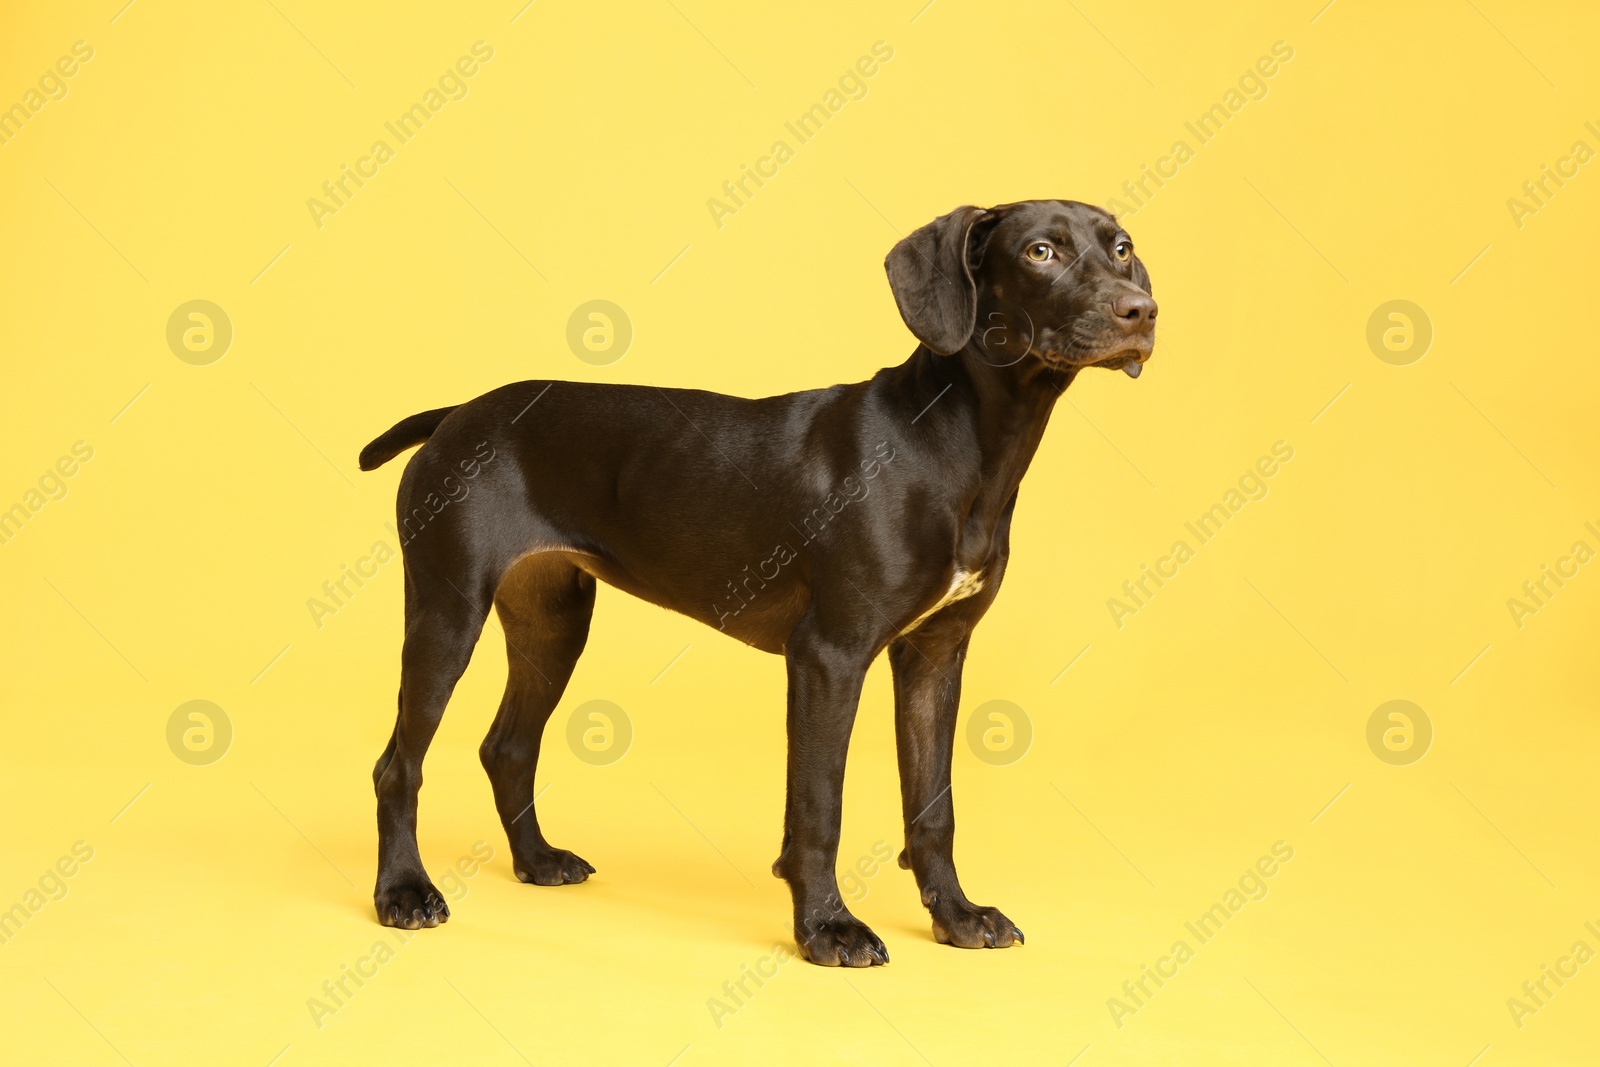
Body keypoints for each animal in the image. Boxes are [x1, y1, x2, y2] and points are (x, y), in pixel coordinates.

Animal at [358, 199, 1158, 966]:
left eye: (1121, 248)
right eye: (1040, 251)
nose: (1141, 311)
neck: (959, 442)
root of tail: (457, 414)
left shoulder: (934, 657)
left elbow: (933, 808)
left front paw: (957, 916)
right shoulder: (828, 655)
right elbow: (819, 806)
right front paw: (827, 927)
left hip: (552, 624)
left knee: (508, 746)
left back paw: (536, 859)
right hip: (447, 614)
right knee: (398, 765)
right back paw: (403, 890)